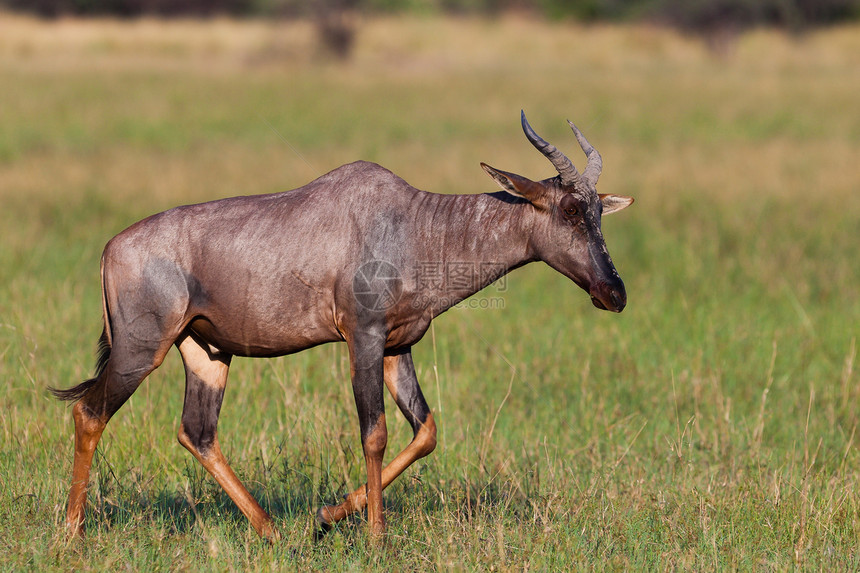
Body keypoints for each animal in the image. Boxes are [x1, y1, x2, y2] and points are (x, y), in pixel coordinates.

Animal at [52, 111, 632, 540]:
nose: (615, 294)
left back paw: (273, 532)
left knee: (197, 431)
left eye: (600, 211)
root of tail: (110, 249)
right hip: (141, 348)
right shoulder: (364, 338)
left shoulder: (399, 346)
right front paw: (376, 537)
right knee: (90, 413)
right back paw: (72, 533)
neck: (413, 222)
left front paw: (329, 516)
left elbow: (426, 432)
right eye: (570, 209)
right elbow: (373, 432)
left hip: (206, 352)